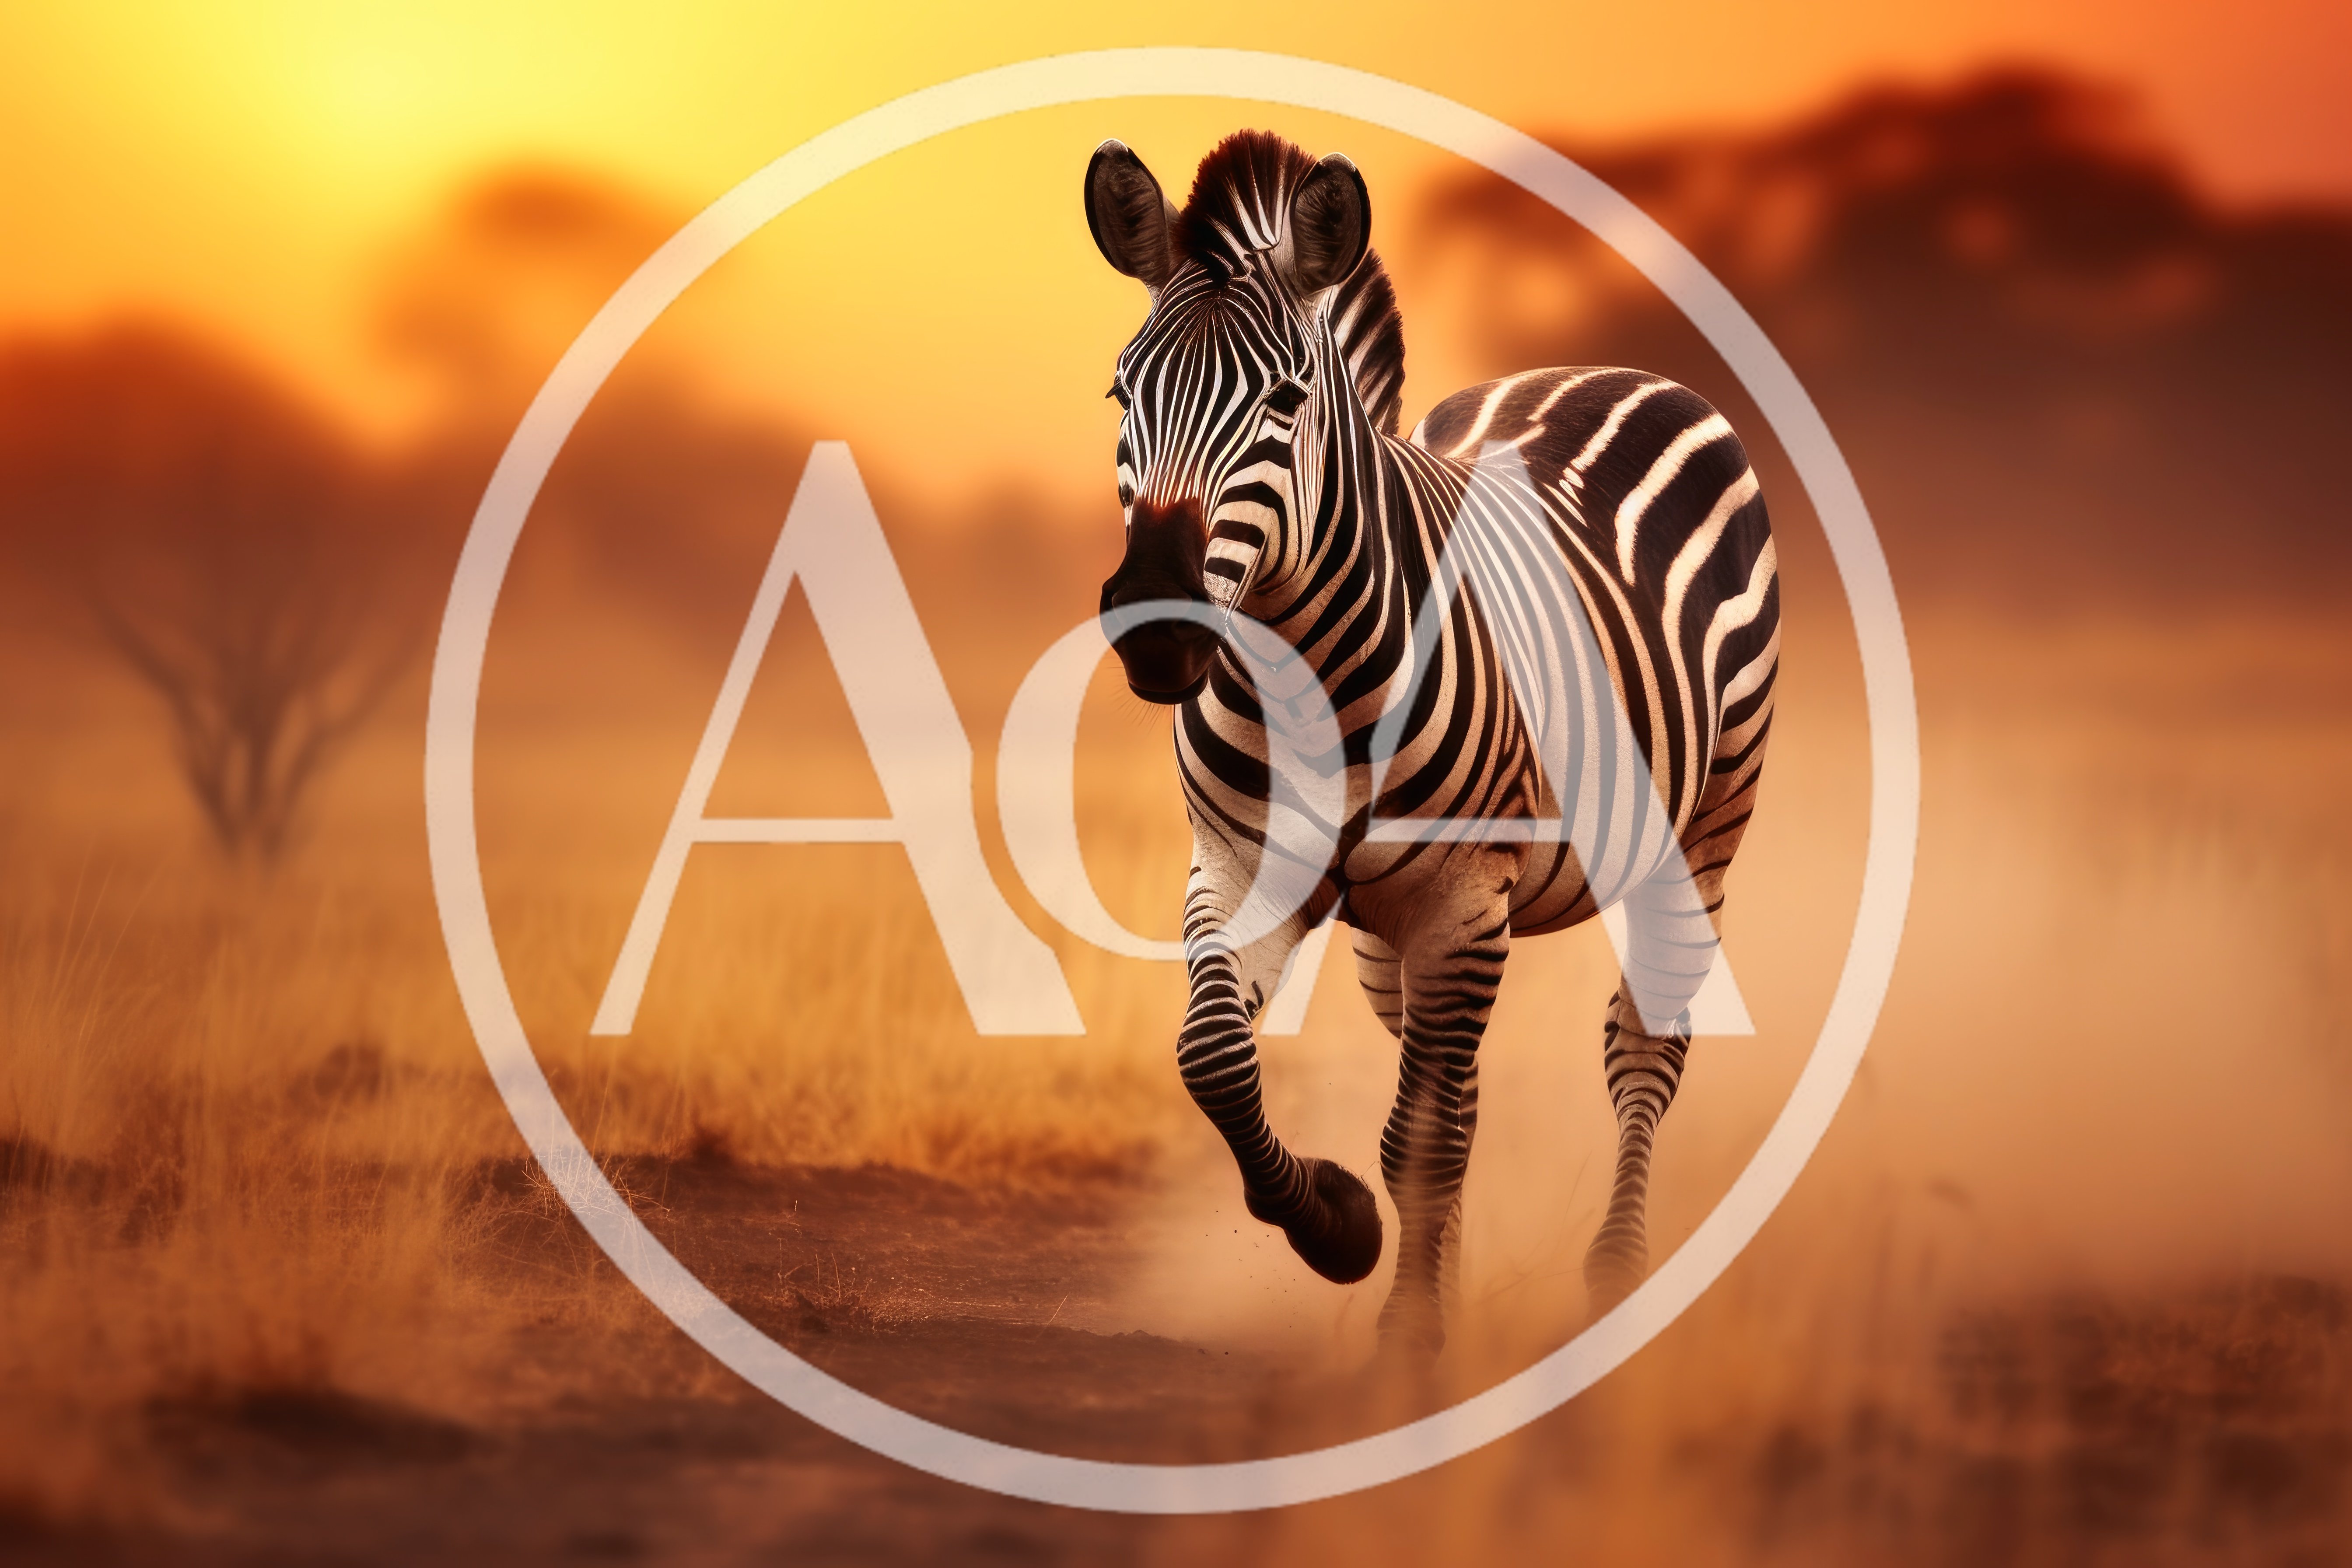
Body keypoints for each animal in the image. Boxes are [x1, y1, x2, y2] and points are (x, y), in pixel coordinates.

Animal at [1084, 130, 1779, 1357]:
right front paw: (1341, 1227)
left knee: (1642, 1046)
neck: (1308, 687)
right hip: (1397, 938)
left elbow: (1421, 1135)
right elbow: (1215, 1059)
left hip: (1701, 829)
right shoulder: (1241, 866)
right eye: (1124, 391)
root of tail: (1607, 370)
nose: (1161, 628)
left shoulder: (1461, 895)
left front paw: (1407, 1336)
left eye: (1284, 400)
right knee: (1457, 1079)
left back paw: (1616, 1281)